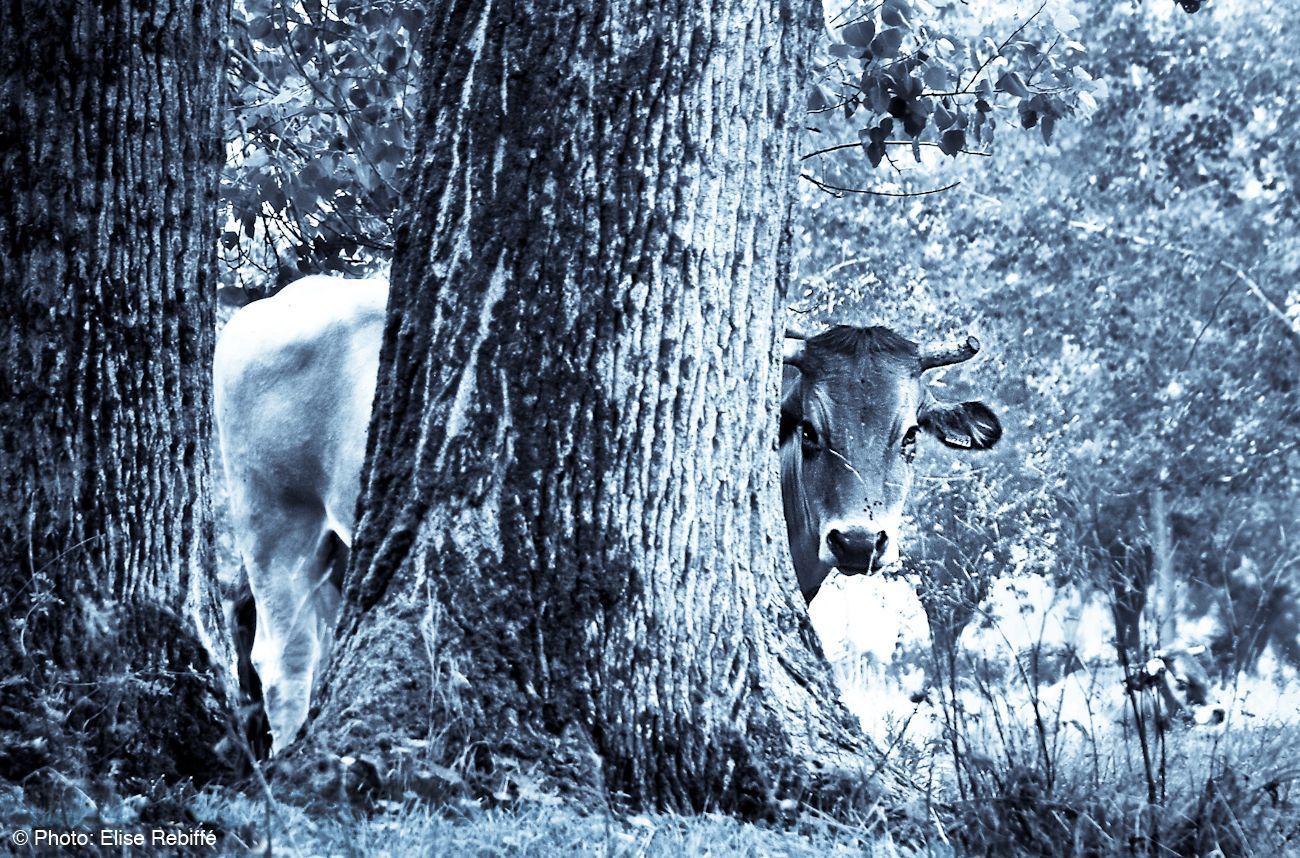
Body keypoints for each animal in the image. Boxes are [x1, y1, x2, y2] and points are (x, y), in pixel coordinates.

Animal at [216, 278, 1002, 753]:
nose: (861, 539)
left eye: (910, 434)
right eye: (809, 430)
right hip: (276, 521)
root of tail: (266, 310)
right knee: (282, 657)